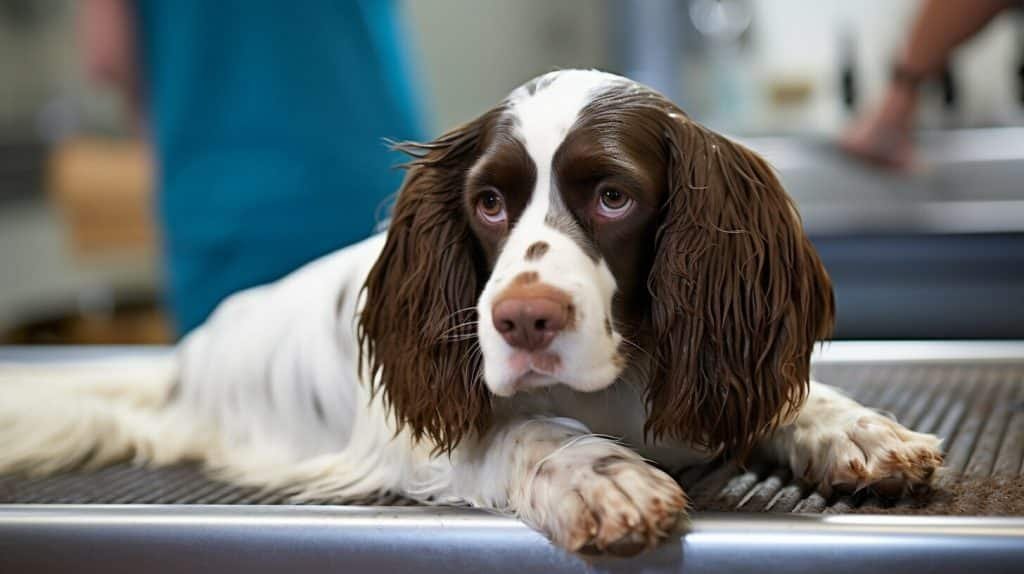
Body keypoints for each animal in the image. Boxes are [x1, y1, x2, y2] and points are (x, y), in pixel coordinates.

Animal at [2, 68, 942, 556]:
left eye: (613, 195)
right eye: (489, 203)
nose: (522, 321)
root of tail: (182, 360)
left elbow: (791, 399)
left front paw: (861, 432)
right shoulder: (423, 443)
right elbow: (527, 432)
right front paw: (602, 478)